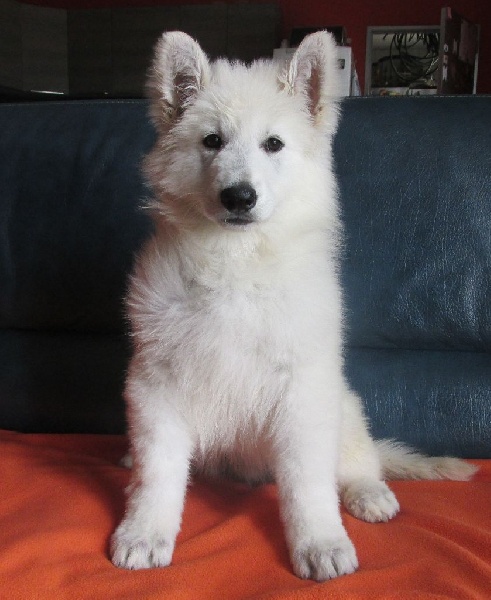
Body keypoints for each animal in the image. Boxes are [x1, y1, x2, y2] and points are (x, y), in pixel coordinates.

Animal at [110, 31, 476, 581]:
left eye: (273, 144)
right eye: (211, 141)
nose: (239, 197)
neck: (236, 260)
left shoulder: (302, 388)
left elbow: (308, 483)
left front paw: (320, 542)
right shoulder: (158, 382)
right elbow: (159, 472)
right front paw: (143, 532)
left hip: (342, 404)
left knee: (358, 459)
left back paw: (370, 493)